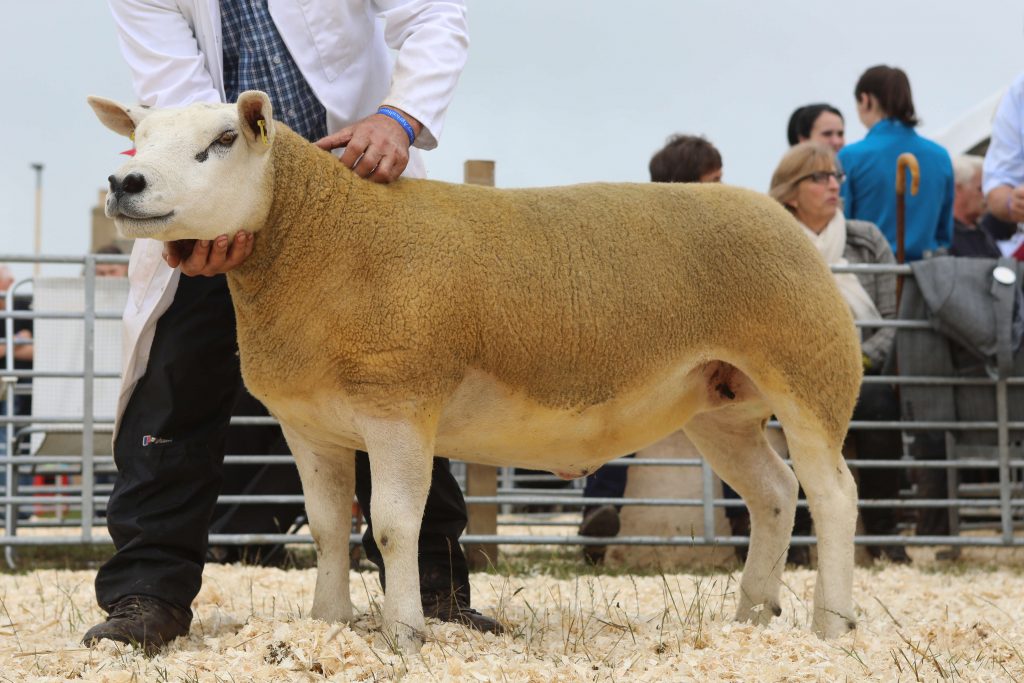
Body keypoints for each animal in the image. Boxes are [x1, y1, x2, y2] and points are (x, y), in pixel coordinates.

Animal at [88, 90, 864, 651]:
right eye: (138, 137)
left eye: (222, 141)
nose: (123, 181)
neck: (329, 239)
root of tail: (783, 220)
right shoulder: (308, 425)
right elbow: (328, 528)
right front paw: (329, 622)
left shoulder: (399, 408)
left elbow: (394, 526)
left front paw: (404, 634)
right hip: (721, 402)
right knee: (774, 492)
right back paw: (754, 615)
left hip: (810, 375)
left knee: (834, 495)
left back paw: (831, 625)